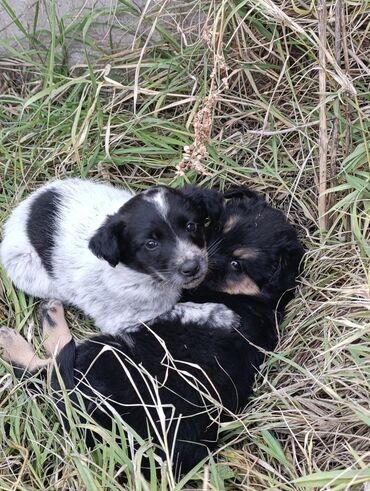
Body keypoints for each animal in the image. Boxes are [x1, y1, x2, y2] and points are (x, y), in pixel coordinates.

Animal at [0, 179, 223, 336]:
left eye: (191, 226)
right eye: (151, 244)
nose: (192, 267)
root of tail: (22, 209)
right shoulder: (125, 321)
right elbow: (177, 311)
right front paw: (218, 313)